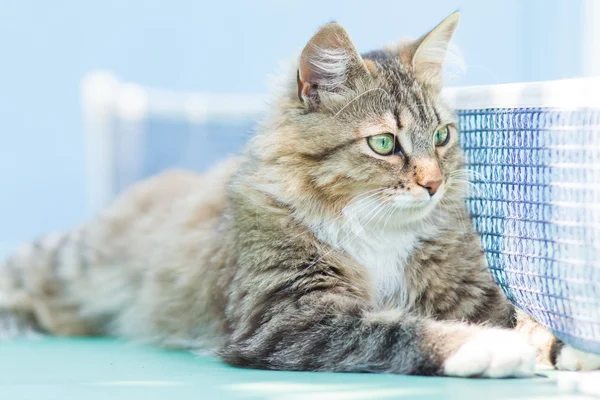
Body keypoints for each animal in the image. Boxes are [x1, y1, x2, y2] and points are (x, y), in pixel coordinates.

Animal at [1, 10, 600, 376]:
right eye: (384, 143)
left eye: (441, 137)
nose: (434, 184)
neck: (374, 230)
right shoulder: (287, 313)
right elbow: (400, 331)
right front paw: (491, 348)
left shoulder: (467, 287)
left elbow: (524, 316)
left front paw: (566, 349)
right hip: (70, 260)